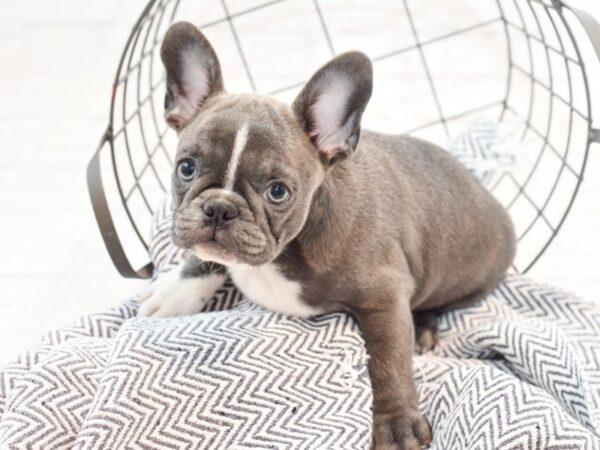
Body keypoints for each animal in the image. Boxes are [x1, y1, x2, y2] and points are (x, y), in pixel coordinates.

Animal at [139, 22, 516, 450]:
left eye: (278, 192)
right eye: (186, 168)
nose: (220, 208)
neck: (286, 250)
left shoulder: (385, 298)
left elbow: (387, 361)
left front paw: (396, 424)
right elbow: (206, 257)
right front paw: (176, 291)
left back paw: (422, 327)